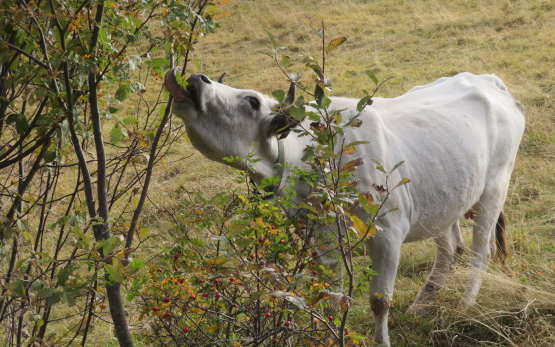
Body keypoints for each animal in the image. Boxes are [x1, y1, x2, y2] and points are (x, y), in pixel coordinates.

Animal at [164, 69, 524, 346]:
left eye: (251, 101)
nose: (196, 77)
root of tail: (489, 82)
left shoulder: (388, 235)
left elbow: (379, 302)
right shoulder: (321, 242)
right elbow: (332, 299)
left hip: (495, 187)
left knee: (481, 251)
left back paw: (465, 304)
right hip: (445, 197)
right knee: (451, 248)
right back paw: (421, 305)